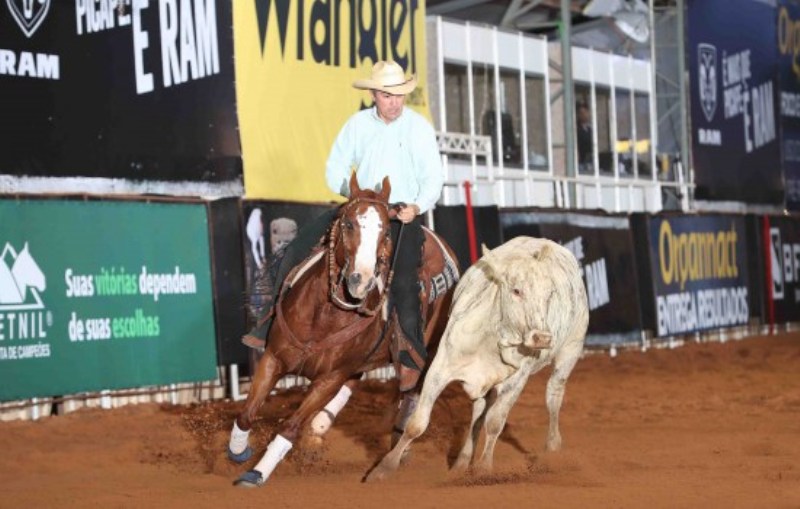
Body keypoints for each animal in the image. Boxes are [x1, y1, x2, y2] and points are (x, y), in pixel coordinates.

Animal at [227, 173, 460, 487]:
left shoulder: (329, 377)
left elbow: (290, 427)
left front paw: (258, 472)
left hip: (427, 352)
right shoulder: (273, 359)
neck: (323, 318)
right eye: (348, 224)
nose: (361, 280)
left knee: (412, 391)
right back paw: (321, 425)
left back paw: (394, 451)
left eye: (387, 232)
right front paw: (239, 451)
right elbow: (247, 415)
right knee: (354, 383)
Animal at [365, 236, 589, 481]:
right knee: (477, 414)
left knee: (553, 395)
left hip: (571, 350)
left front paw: (484, 468)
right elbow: (417, 424)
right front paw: (383, 468)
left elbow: (495, 423)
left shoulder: (516, 381)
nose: (543, 338)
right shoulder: (439, 370)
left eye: (549, 294)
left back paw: (552, 446)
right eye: (516, 291)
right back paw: (461, 462)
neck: (492, 339)